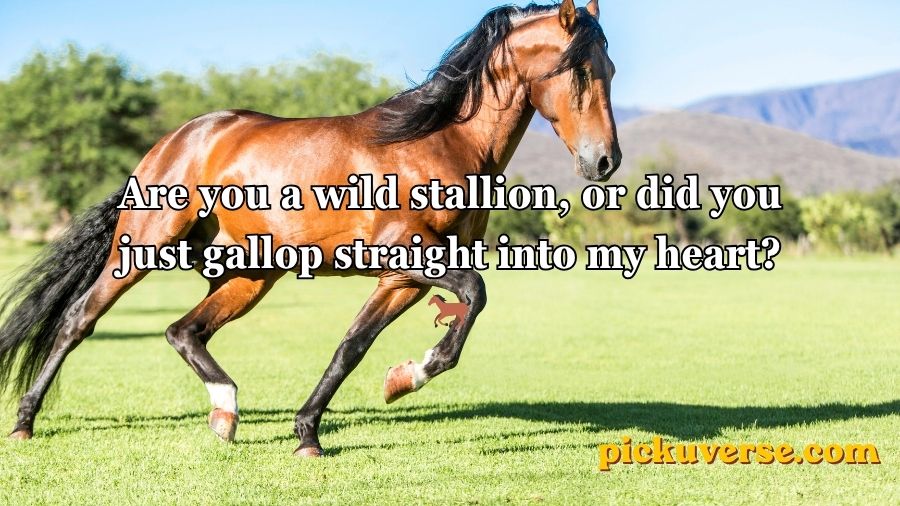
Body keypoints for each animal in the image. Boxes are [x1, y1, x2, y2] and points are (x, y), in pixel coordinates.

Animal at [0, 0, 620, 457]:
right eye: (579, 69)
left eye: (610, 70)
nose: (604, 162)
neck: (439, 140)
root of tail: (178, 139)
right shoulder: (405, 253)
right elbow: (475, 294)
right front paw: (406, 375)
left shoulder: (401, 279)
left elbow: (353, 347)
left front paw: (319, 427)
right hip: (145, 247)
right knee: (80, 319)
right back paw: (25, 422)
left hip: (251, 273)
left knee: (184, 331)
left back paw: (225, 412)